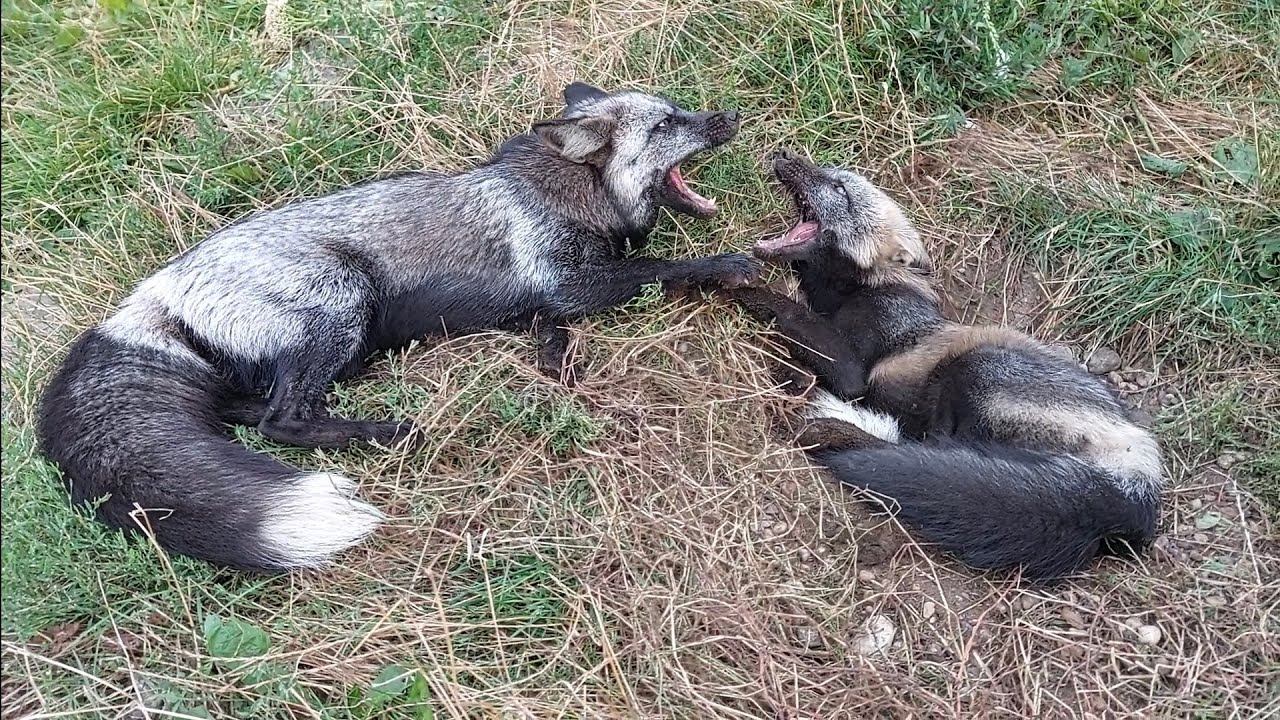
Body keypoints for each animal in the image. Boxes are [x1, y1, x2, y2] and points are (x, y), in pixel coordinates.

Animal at [38, 82, 760, 572]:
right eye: (667, 123)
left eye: (680, 109)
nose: (730, 117)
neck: (567, 191)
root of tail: (152, 293)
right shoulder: (570, 282)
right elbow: (664, 268)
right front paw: (729, 265)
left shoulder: (539, 300)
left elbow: (550, 330)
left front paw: (557, 366)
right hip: (344, 296)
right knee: (281, 420)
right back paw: (390, 432)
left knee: (250, 409)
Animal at [723, 149, 1164, 581]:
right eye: (827, 172)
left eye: (839, 189)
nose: (783, 153)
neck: (856, 292)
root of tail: (1138, 474)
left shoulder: (857, 366)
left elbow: (793, 313)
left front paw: (739, 284)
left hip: (976, 370)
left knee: (925, 446)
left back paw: (832, 429)